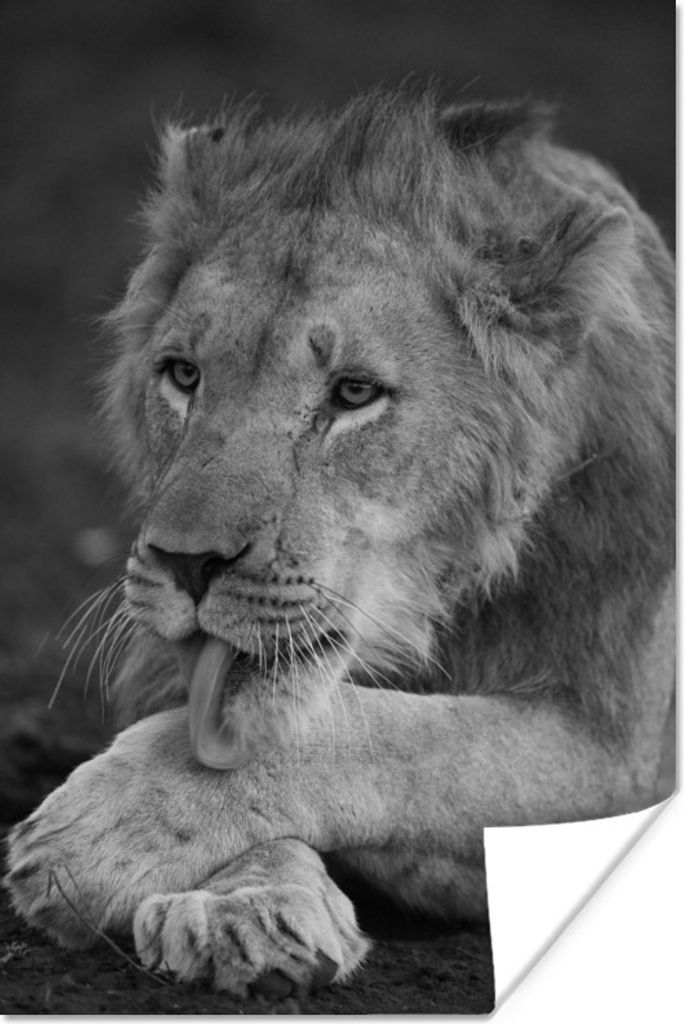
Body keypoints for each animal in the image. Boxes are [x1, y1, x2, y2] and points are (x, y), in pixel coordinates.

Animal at [5, 87, 674, 998]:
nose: (186, 564)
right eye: (183, 374)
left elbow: (405, 739)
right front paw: (246, 906)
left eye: (353, 394)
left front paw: (103, 829)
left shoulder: (626, 754)